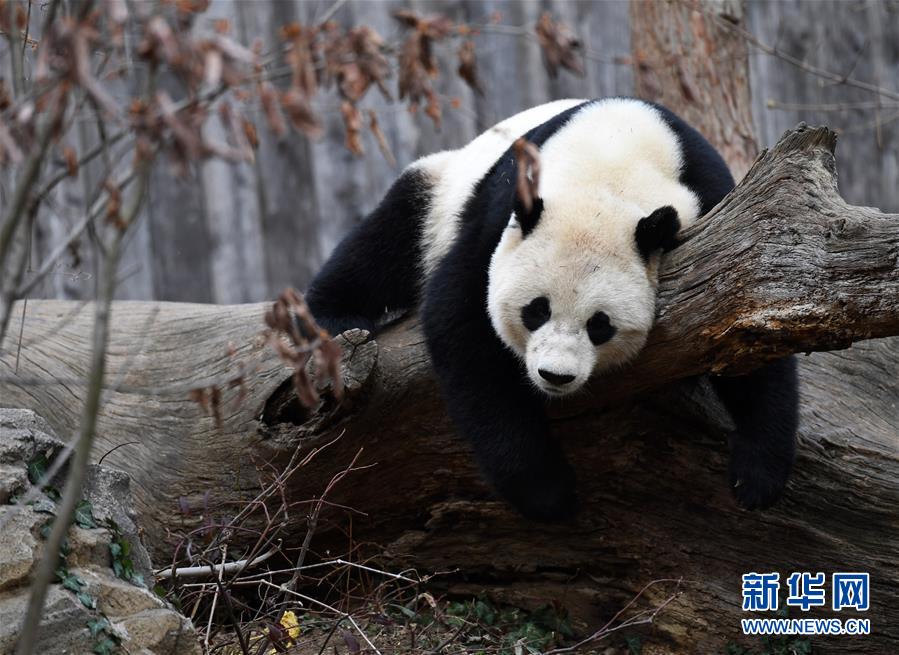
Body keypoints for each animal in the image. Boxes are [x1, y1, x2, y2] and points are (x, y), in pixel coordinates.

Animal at [306, 97, 800, 520]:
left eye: (599, 325)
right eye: (535, 311)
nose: (555, 376)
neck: (609, 163)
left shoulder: (713, 201)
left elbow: (746, 308)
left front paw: (757, 475)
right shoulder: (498, 217)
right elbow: (462, 324)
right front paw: (548, 492)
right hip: (440, 189)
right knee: (385, 241)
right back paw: (332, 317)